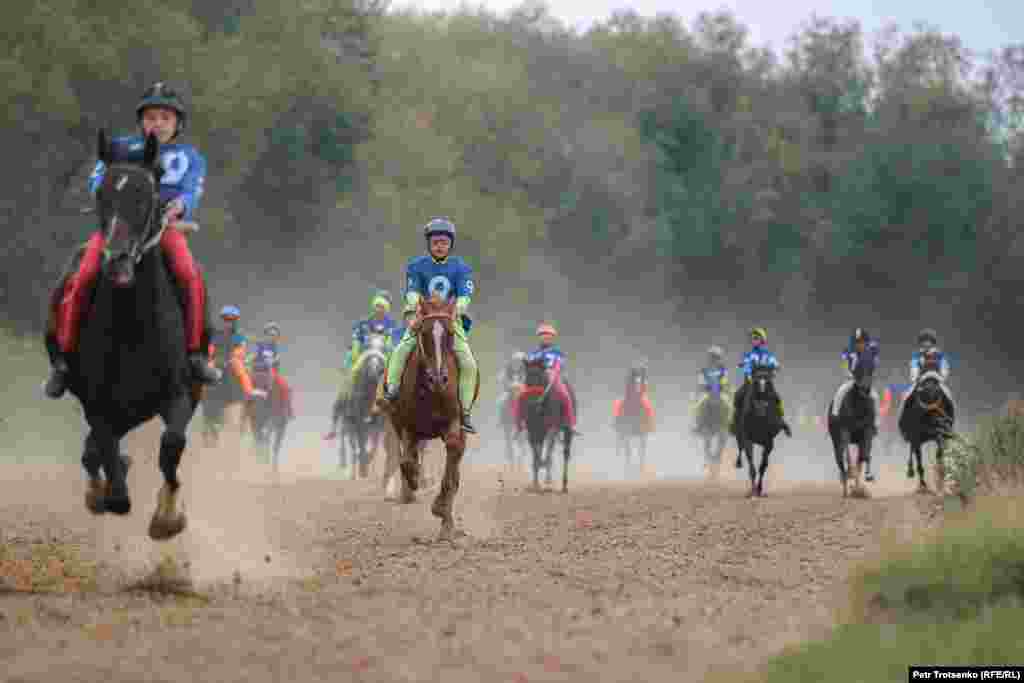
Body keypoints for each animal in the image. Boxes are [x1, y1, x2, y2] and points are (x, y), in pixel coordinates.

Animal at [329, 333, 389, 479]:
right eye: (366, 345)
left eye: (384, 348)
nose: (375, 369)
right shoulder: (357, 421)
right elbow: (360, 444)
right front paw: (362, 467)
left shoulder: (377, 424)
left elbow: (373, 447)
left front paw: (366, 465)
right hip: (346, 418)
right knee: (346, 439)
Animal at [378, 296, 477, 540]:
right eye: (423, 332)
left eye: (450, 333)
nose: (438, 378)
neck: (432, 392)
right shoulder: (407, 425)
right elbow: (405, 460)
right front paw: (413, 481)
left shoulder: (454, 423)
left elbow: (452, 461)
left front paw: (440, 508)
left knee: (454, 469)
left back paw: (447, 526)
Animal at [520, 358, 577, 491]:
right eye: (527, 378)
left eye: (540, 377)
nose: (532, 402)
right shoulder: (533, 430)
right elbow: (536, 453)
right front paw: (535, 483)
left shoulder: (552, 428)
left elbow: (548, 452)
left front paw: (547, 481)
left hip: (567, 429)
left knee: (566, 452)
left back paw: (563, 485)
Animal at [733, 368, 786, 497]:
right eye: (756, 382)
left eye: (768, 383)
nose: (760, 408)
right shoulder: (747, 439)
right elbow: (751, 465)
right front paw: (752, 491)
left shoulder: (769, 442)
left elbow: (763, 466)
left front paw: (759, 489)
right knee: (740, 448)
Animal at [823, 352, 880, 497]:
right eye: (858, 368)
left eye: (872, 367)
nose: (865, 388)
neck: (859, 405)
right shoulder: (845, 431)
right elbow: (848, 455)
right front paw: (851, 474)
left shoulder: (867, 430)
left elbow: (864, 455)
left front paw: (864, 482)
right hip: (835, 440)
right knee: (840, 460)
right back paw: (846, 485)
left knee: (858, 458)